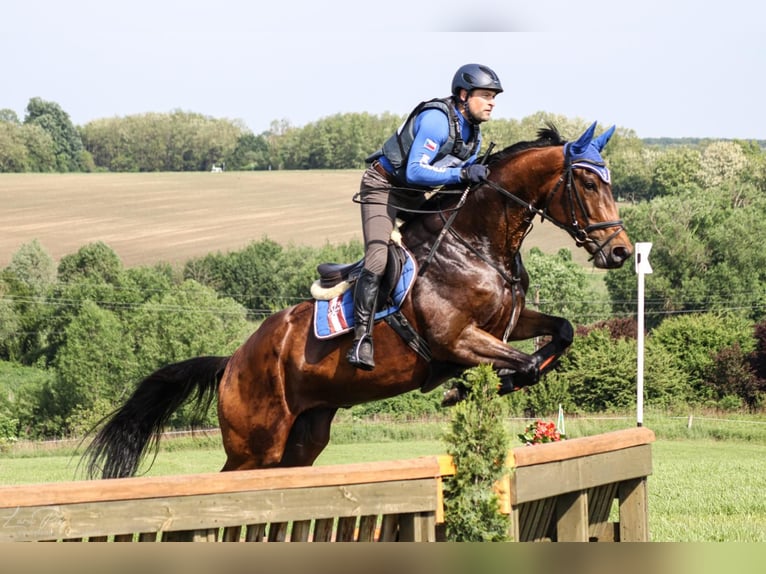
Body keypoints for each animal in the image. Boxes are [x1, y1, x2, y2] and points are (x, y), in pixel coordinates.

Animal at [84, 121, 632, 479]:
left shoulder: (505, 324)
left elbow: (558, 335)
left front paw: (485, 386)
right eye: (587, 182)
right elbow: (524, 363)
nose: (621, 251)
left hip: (303, 436)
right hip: (254, 446)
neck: (476, 243)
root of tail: (233, 360)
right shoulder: (456, 340)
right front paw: (464, 389)